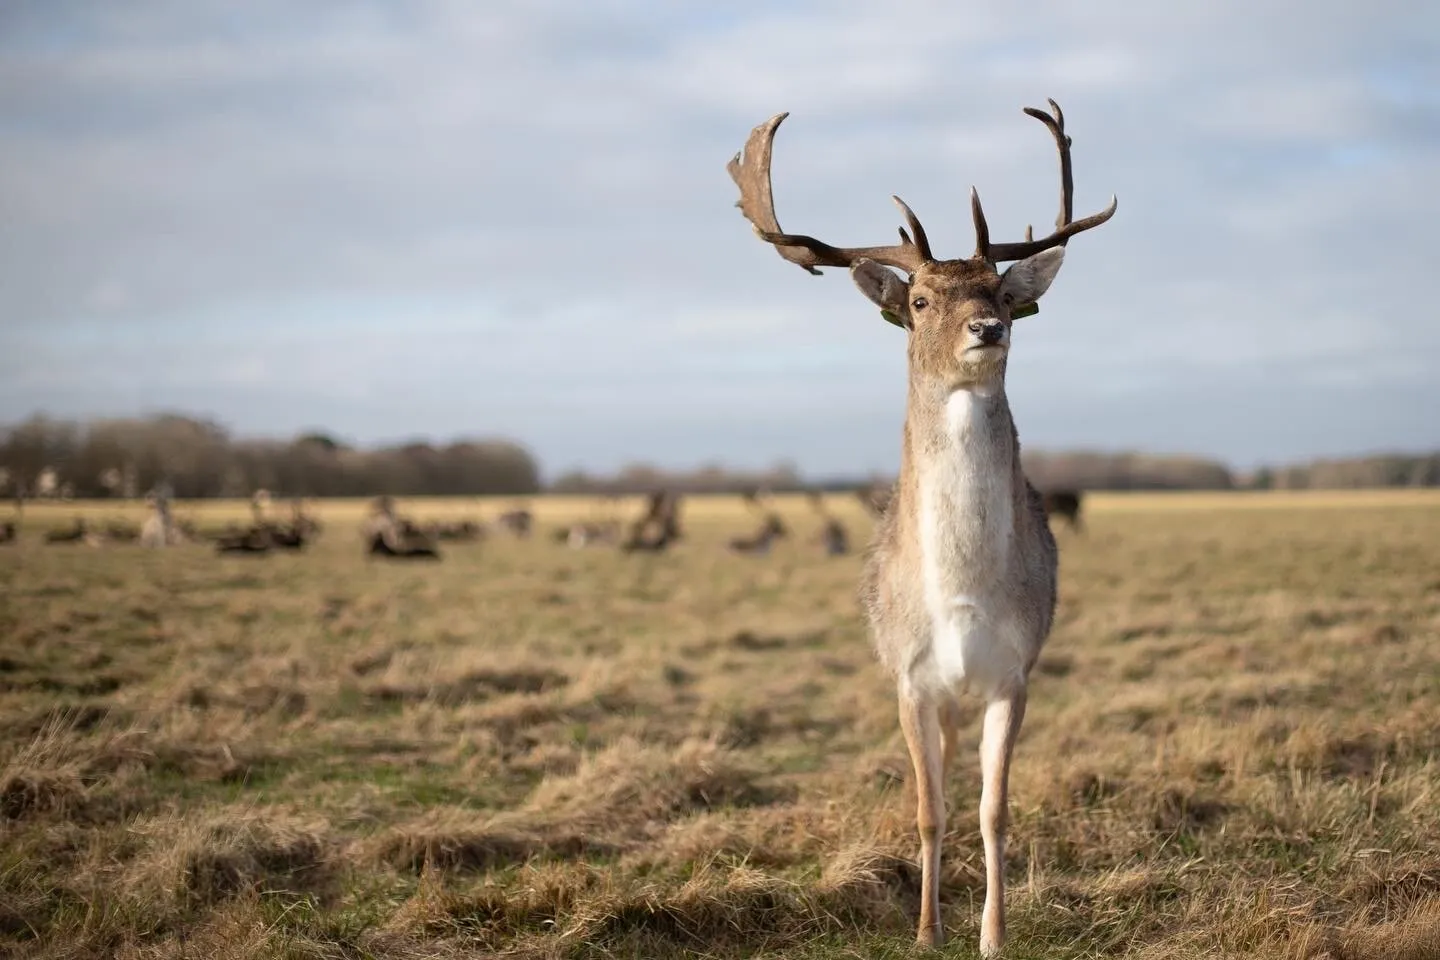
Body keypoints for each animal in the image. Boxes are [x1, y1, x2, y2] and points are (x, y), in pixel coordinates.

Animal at [728, 98, 1115, 954]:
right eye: (919, 301)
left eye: (999, 291)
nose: (987, 329)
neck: (962, 600)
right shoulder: (907, 676)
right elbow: (929, 810)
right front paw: (927, 930)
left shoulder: (1015, 672)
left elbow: (994, 809)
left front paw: (994, 934)